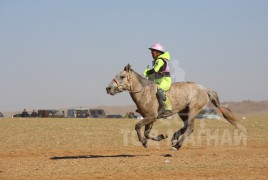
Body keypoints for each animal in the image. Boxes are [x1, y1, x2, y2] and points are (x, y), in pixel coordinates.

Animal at [105, 64, 236, 150]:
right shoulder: (150, 118)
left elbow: (137, 126)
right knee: (185, 126)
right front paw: (161, 136)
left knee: (190, 128)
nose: (108, 88)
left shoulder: (151, 117)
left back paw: (177, 145)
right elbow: (146, 132)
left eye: (122, 76)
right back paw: (174, 138)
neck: (144, 92)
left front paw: (144, 142)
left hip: (193, 110)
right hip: (183, 112)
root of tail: (204, 89)